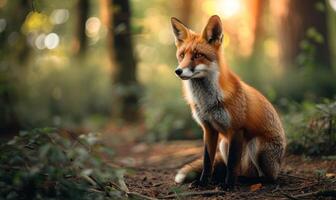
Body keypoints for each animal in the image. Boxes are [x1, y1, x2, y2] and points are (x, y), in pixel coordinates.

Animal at [171, 15, 286, 188]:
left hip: (255, 145)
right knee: (241, 170)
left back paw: (248, 181)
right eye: (182, 55)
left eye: (197, 55)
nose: (178, 71)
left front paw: (229, 185)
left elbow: (232, 163)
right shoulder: (209, 129)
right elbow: (207, 161)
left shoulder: (236, 129)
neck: (207, 102)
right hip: (224, 144)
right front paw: (203, 182)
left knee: (267, 177)